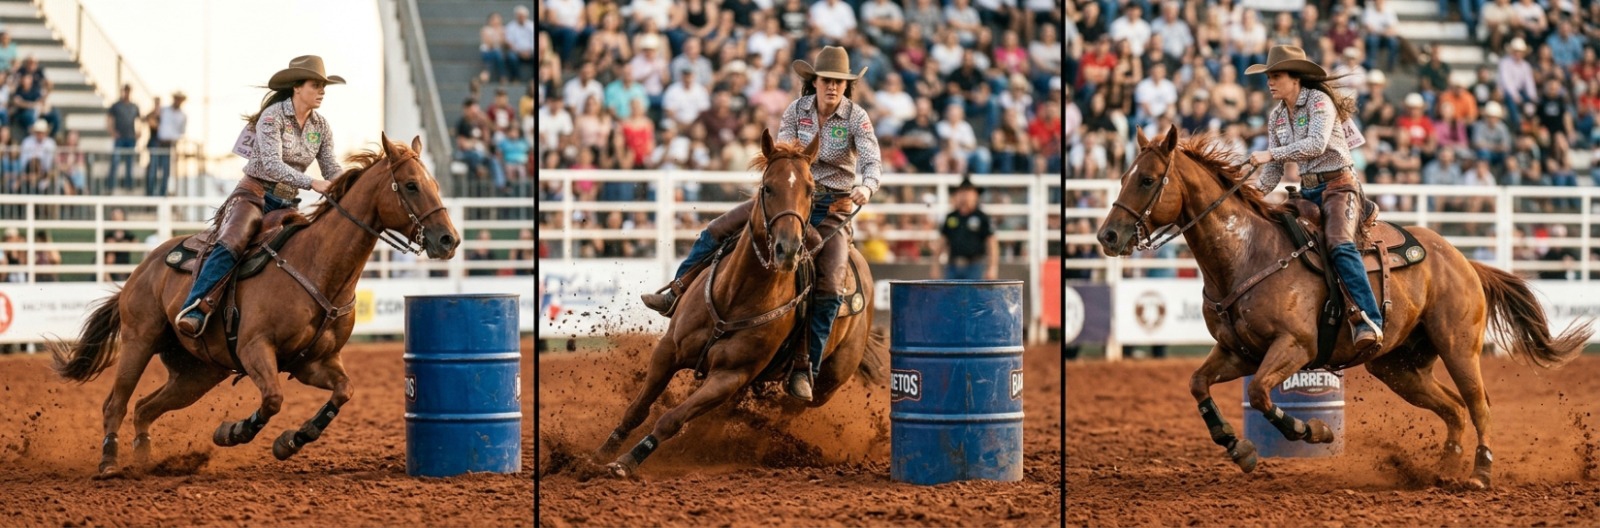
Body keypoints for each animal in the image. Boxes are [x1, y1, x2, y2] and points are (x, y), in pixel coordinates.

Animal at [49, 134, 459, 478]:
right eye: (411, 185)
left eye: (437, 185)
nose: (449, 240)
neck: (317, 265)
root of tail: (142, 269)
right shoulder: (254, 348)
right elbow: (274, 399)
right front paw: (233, 432)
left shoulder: (313, 362)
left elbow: (344, 392)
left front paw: (290, 441)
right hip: (139, 341)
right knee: (115, 404)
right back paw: (109, 463)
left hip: (196, 374)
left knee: (144, 407)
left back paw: (146, 461)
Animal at [593, 129, 888, 478]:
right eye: (767, 186)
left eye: (811, 191)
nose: (787, 249)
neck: (735, 296)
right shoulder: (668, 351)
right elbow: (638, 408)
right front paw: (602, 451)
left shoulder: (730, 376)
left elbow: (671, 420)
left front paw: (626, 461)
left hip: (827, 384)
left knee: (790, 408)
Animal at [1097, 125, 1592, 490]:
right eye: (1123, 177)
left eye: (1146, 179)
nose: (1107, 236)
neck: (1247, 253)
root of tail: (1461, 259)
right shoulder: (1239, 352)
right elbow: (1198, 383)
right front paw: (1237, 447)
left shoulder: (1293, 347)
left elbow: (1261, 394)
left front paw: (1312, 432)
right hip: (1399, 367)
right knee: (1452, 408)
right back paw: (1441, 471)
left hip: (1458, 347)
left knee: (1477, 404)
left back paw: (1480, 473)